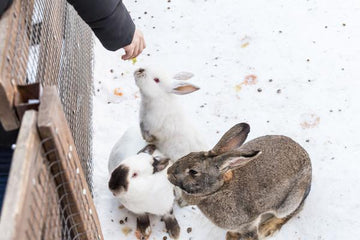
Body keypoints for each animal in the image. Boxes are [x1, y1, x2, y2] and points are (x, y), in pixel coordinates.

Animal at [167, 123, 310, 239]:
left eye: (193, 172)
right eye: (188, 154)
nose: (168, 172)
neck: (218, 190)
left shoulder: (248, 224)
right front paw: (231, 235)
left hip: (289, 202)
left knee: (293, 211)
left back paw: (267, 228)